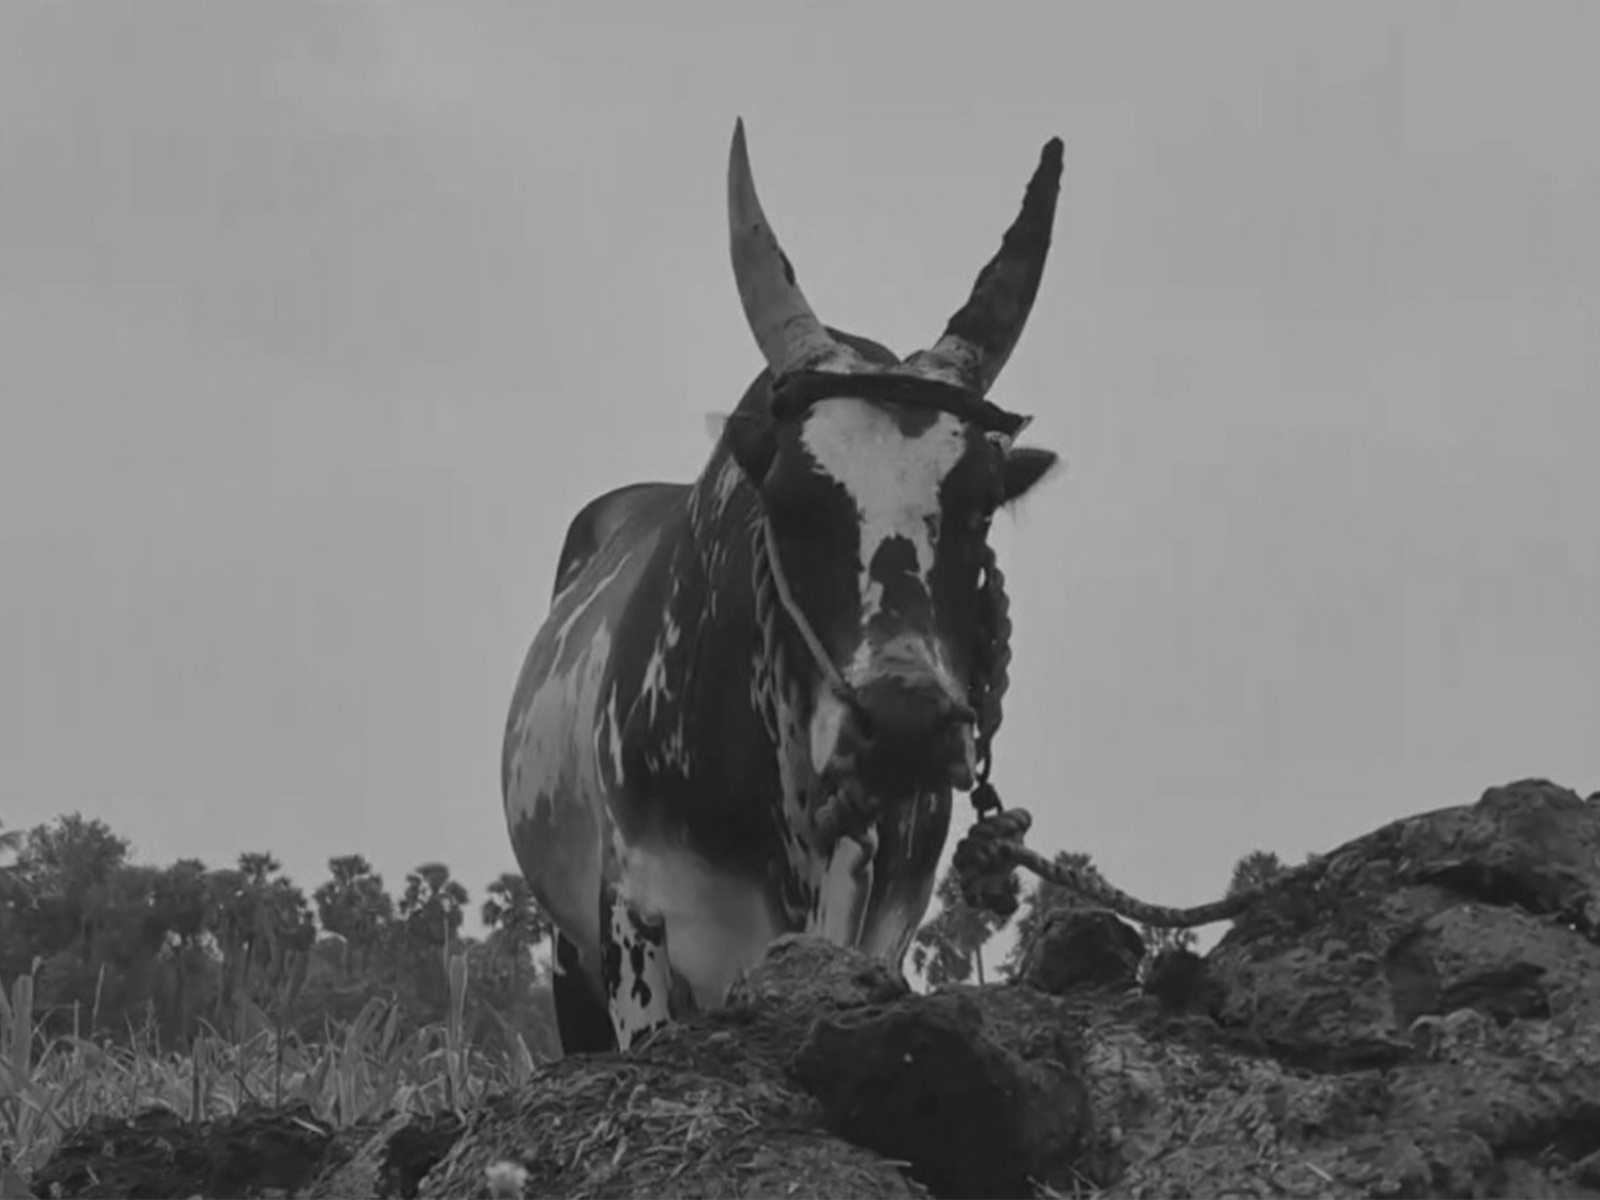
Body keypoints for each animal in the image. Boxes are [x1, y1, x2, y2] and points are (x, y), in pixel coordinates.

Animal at [501, 119, 1065, 1054]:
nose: (904, 726)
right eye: (791, 500)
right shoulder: (632, 917)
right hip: (569, 951)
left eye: (980, 504)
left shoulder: (878, 918)